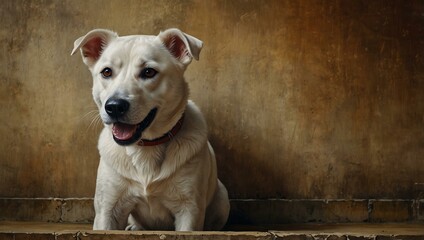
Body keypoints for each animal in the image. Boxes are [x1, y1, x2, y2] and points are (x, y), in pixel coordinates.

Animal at [70, 28, 229, 231]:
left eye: (148, 72)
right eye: (106, 72)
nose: (114, 106)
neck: (146, 147)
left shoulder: (189, 210)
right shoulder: (107, 209)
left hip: (222, 198)